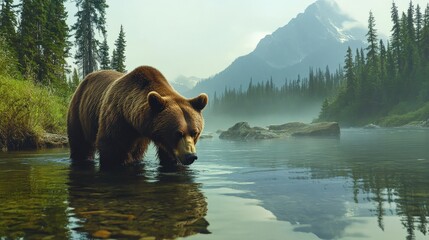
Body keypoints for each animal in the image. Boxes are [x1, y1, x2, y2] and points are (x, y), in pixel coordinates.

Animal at [67, 65, 207, 169]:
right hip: (79, 112)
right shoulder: (117, 119)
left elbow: (168, 156)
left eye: (195, 132)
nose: (191, 156)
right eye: (178, 133)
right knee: (80, 143)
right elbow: (112, 148)